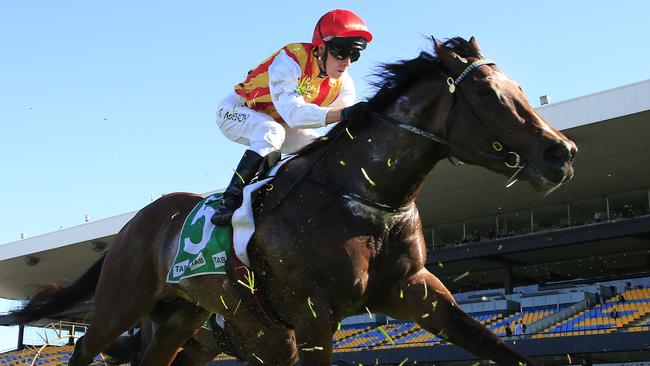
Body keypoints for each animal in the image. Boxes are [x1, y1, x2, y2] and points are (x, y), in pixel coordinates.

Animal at [8, 35, 572, 364]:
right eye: (488, 94)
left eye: (519, 88)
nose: (560, 153)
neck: (363, 197)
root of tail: (132, 226)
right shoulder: (314, 316)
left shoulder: (415, 292)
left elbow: (498, 347)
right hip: (122, 302)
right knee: (85, 346)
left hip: (179, 324)